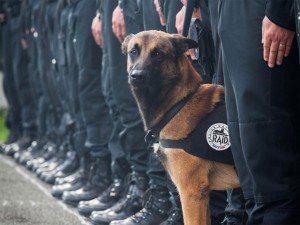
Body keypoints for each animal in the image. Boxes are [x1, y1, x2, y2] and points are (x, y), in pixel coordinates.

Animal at [120, 30, 240, 225]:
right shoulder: (202, 196)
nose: (136, 76)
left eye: (158, 53)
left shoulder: (191, 192)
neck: (178, 104)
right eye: (133, 52)